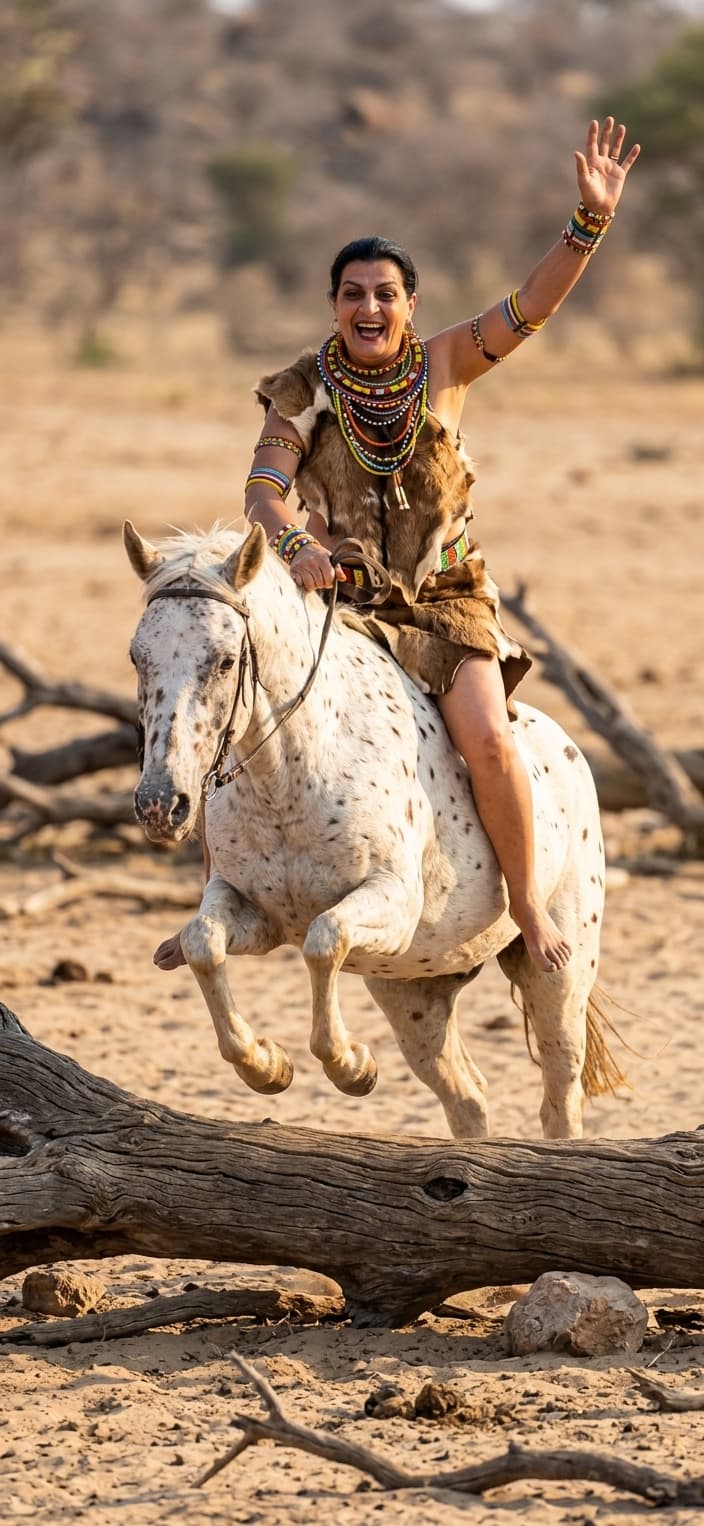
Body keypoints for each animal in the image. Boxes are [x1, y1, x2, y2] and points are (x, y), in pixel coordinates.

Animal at [124, 519, 622, 1139]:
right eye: (137, 658)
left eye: (224, 661)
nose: (160, 805)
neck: (288, 775)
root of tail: (570, 749)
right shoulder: (256, 914)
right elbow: (201, 944)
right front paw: (267, 1065)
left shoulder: (392, 902)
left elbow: (323, 941)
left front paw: (352, 1066)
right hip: (411, 988)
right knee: (466, 1094)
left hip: (558, 974)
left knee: (560, 1095)